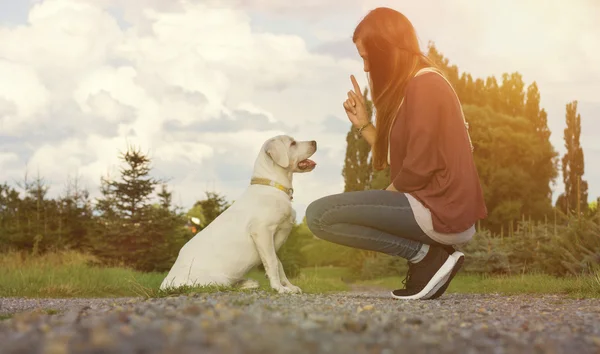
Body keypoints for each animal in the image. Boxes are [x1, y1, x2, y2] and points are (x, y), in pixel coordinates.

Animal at [159, 135, 318, 294]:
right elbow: (272, 262)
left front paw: (289, 286)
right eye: (292, 143)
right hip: (216, 280)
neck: (273, 186)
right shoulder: (262, 232)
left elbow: (278, 264)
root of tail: (165, 284)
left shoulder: (272, 241)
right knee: (223, 286)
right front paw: (279, 288)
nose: (315, 142)